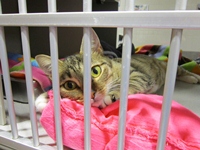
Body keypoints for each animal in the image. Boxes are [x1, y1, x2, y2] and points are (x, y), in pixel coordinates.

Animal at [35, 29, 200, 111]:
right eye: (70, 85)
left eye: (95, 71)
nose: (92, 94)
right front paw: (44, 97)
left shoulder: (137, 74)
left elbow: (129, 83)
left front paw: (111, 95)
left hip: (169, 68)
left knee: (181, 71)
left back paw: (193, 77)